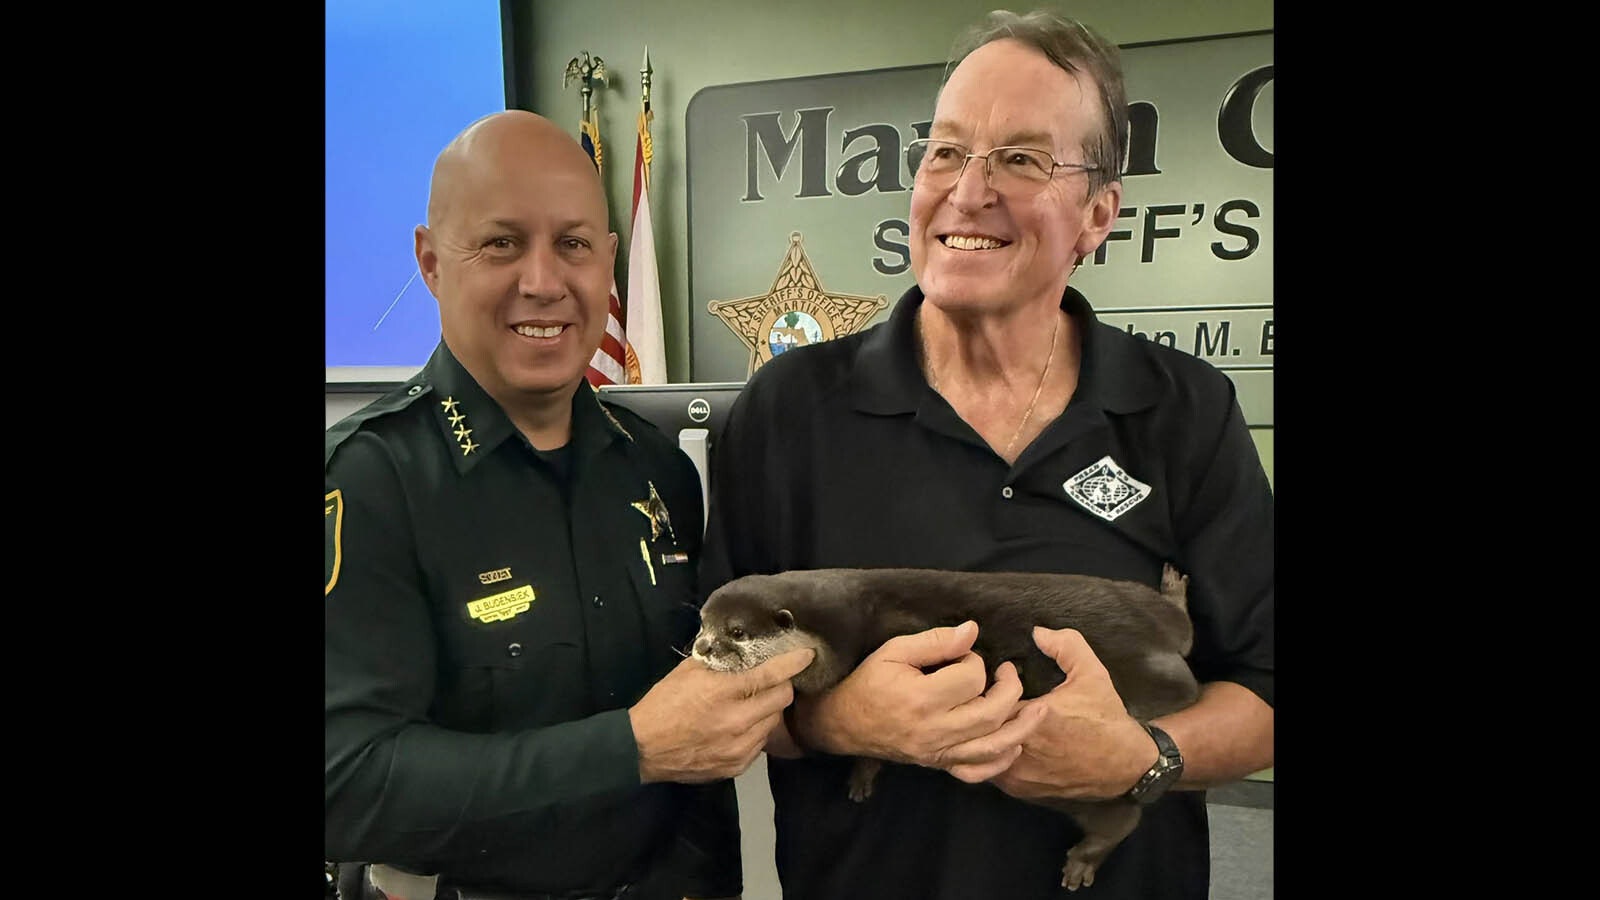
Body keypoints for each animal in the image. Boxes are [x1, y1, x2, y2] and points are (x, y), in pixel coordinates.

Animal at [691, 565, 1199, 892]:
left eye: (736, 631)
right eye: (702, 621)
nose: (701, 648)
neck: (844, 623)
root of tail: (1161, 650)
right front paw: (862, 774)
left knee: (1124, 816)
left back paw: (1084, 859)